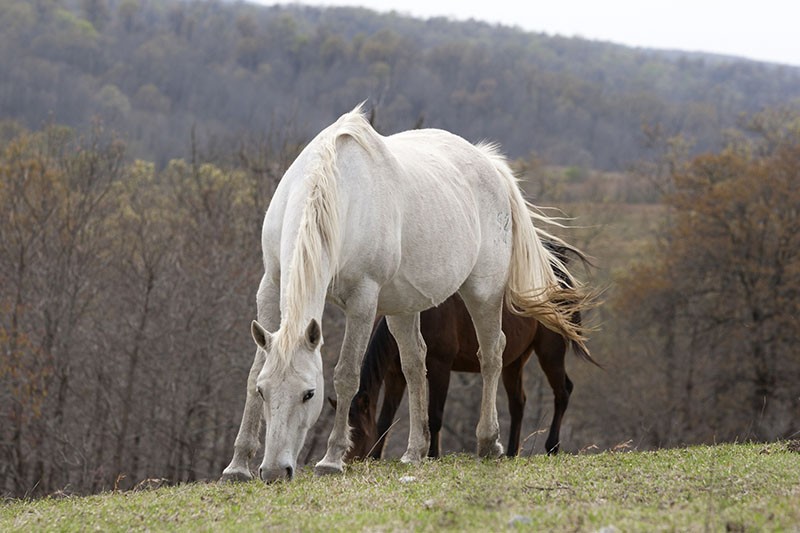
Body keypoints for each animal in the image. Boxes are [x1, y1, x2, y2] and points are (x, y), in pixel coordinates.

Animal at [222, 104, 592, 482]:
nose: (274, 471)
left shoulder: (362, 300)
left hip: (483, 292)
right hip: (403, 308)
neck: (336, 192)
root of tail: (490, 163)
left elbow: (346, 374)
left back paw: (489, 442)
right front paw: (238, 465)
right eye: (264, 392)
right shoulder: (270, 285)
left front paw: (332, 459)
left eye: (309, 393)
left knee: (492, 354)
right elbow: (254, 368)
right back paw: (415, 451)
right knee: (416, 363)